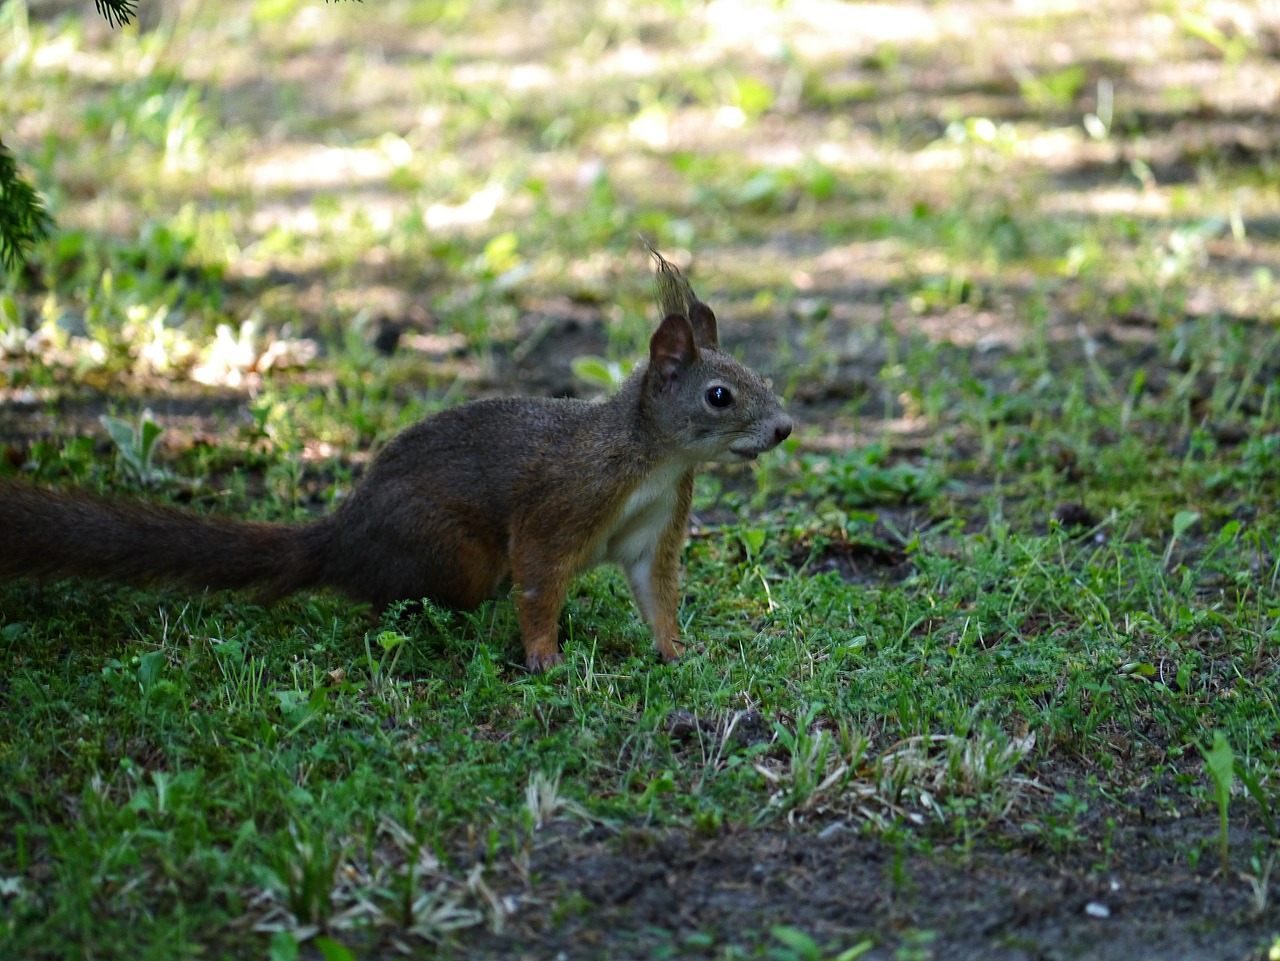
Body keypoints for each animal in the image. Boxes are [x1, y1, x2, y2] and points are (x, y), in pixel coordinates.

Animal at [0, 249, 793, 670]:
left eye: (764, 376)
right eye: (720, 395)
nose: (784, 429)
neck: (653, 460)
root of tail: (342, 536)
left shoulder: (657, 527)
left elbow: (656, 592)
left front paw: (677, 650)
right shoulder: (564, 500)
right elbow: (540, 580)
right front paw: (545, 657)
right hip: (453, 552)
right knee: (392, 599)